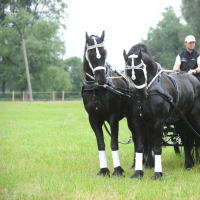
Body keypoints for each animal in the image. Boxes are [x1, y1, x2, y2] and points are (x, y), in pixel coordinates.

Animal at [81, 31, 136, 177]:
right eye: (90, 53)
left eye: (104, 52)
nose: (101, 79)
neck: (96, 89)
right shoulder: (93, 119)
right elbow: (101, 144)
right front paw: (103, 170)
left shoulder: (113, 117)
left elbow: (114, 143)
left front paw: (118, 170)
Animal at [123, 43, 200, 178]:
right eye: (128, 73)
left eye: (141, 70)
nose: (142, 95)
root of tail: (194, 79)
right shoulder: (137, 120)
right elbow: (139, 146)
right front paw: (138, 173)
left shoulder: (158, 121)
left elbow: (157, 147)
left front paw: (157, 174)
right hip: (179, 120)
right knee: (185, 139)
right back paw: (188, 164)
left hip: (194, 117)